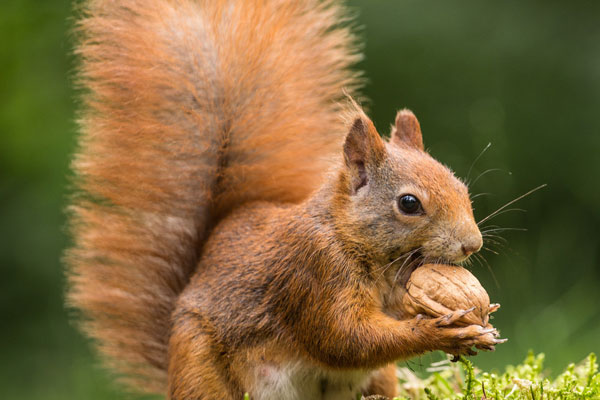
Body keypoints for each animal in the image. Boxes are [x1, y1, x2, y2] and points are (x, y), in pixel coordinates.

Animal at [65, 0, 502, 400]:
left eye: (460, 187)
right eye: (409, 204)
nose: (472, 244)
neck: (350, 239)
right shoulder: (313, 273)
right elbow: (346, 340)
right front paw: (441, 331)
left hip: (377, 379)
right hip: (199, 363)